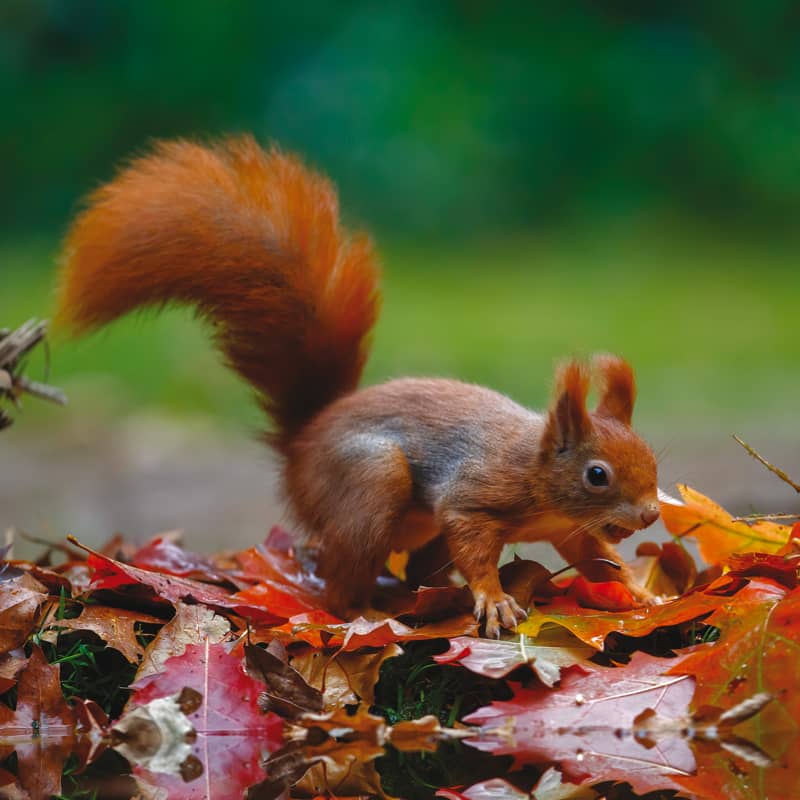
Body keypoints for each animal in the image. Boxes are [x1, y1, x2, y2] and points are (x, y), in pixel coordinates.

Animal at [54, 136, 656, 636]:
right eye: (597, 475)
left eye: (651, 458)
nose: (651, 514)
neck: (536, 469)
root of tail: (303, 443)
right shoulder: (476, 494)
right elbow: (475, 546)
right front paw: (492, 598)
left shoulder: (570, 527)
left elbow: (597, 556)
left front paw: (639, 590)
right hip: (371, 480)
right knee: (340, 581)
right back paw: (367, 612)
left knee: (412, 569)